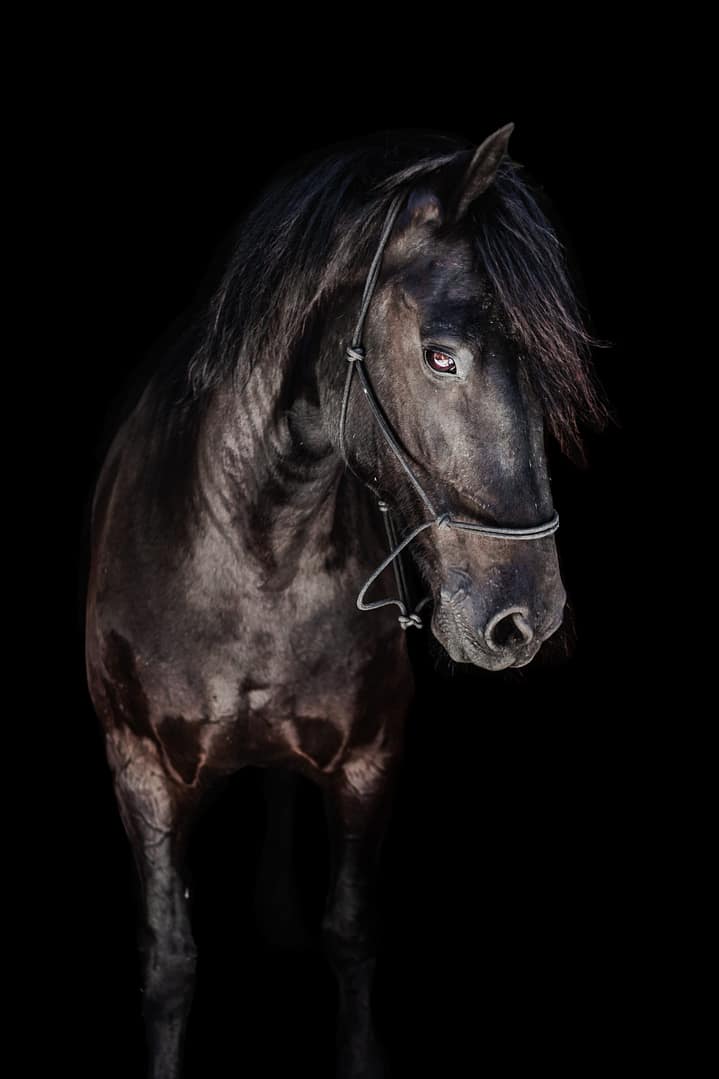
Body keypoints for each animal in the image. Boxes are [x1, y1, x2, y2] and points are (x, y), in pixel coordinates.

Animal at [85, 123, 606, 1078]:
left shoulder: (368, 759)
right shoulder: (138, 765)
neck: (254, 557)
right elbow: (169, 960)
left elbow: (351, 933)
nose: (529, 618)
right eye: (440, 354)